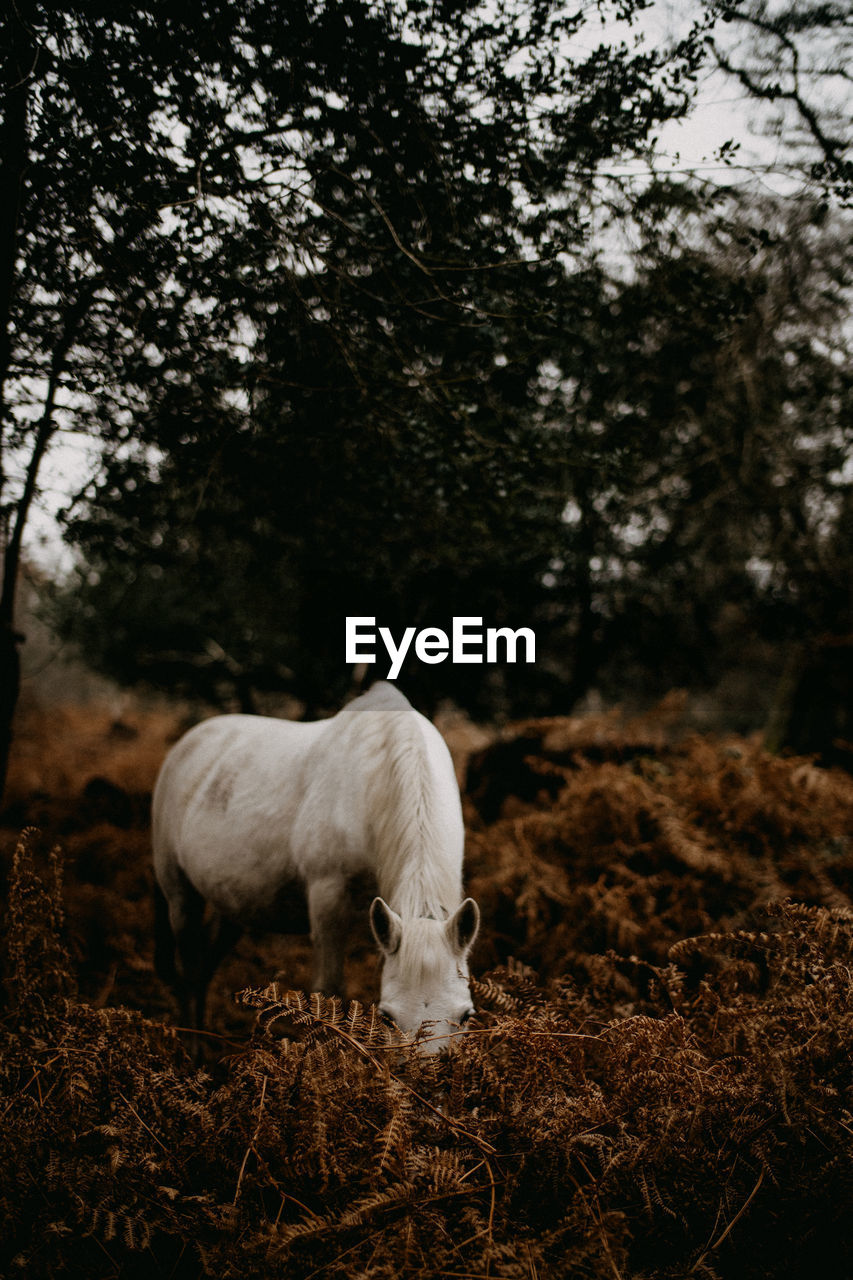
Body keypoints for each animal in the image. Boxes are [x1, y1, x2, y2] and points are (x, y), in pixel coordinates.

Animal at [151, 686, 479, 1054]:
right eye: (386, 1016)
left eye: (466, 1015)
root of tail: (186, 744)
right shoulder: (328, 898)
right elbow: (329, 991)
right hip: (180, 894)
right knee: (191, 968)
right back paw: (193, 1049)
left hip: (232, 906)